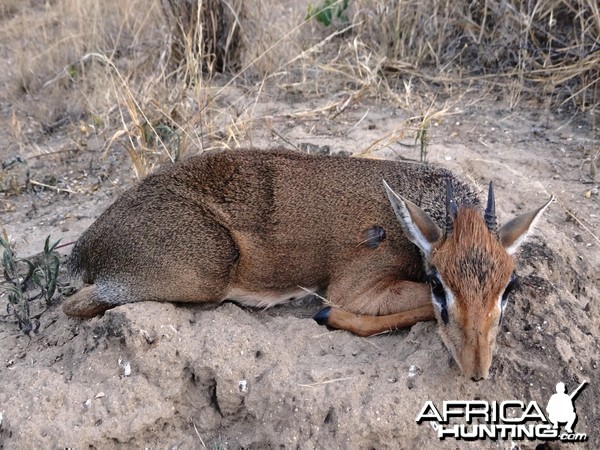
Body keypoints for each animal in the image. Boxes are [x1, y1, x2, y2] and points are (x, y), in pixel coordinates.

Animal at [64, 149, 552, 380]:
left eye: (508, 287)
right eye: (438, 285)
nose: (477, 372)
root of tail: (87, 245)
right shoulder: (357, 288)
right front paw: (326, 315)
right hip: (204, 272)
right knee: (75, 304)